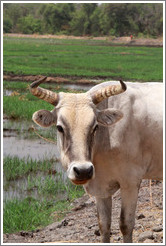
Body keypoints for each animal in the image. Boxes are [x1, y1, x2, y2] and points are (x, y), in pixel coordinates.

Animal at [29, 78, 163, 243]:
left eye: (95, 127)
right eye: (60, 128)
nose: (83, 171)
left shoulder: (131, 182)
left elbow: (126, 224)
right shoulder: (101, 188)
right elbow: (104, 225)